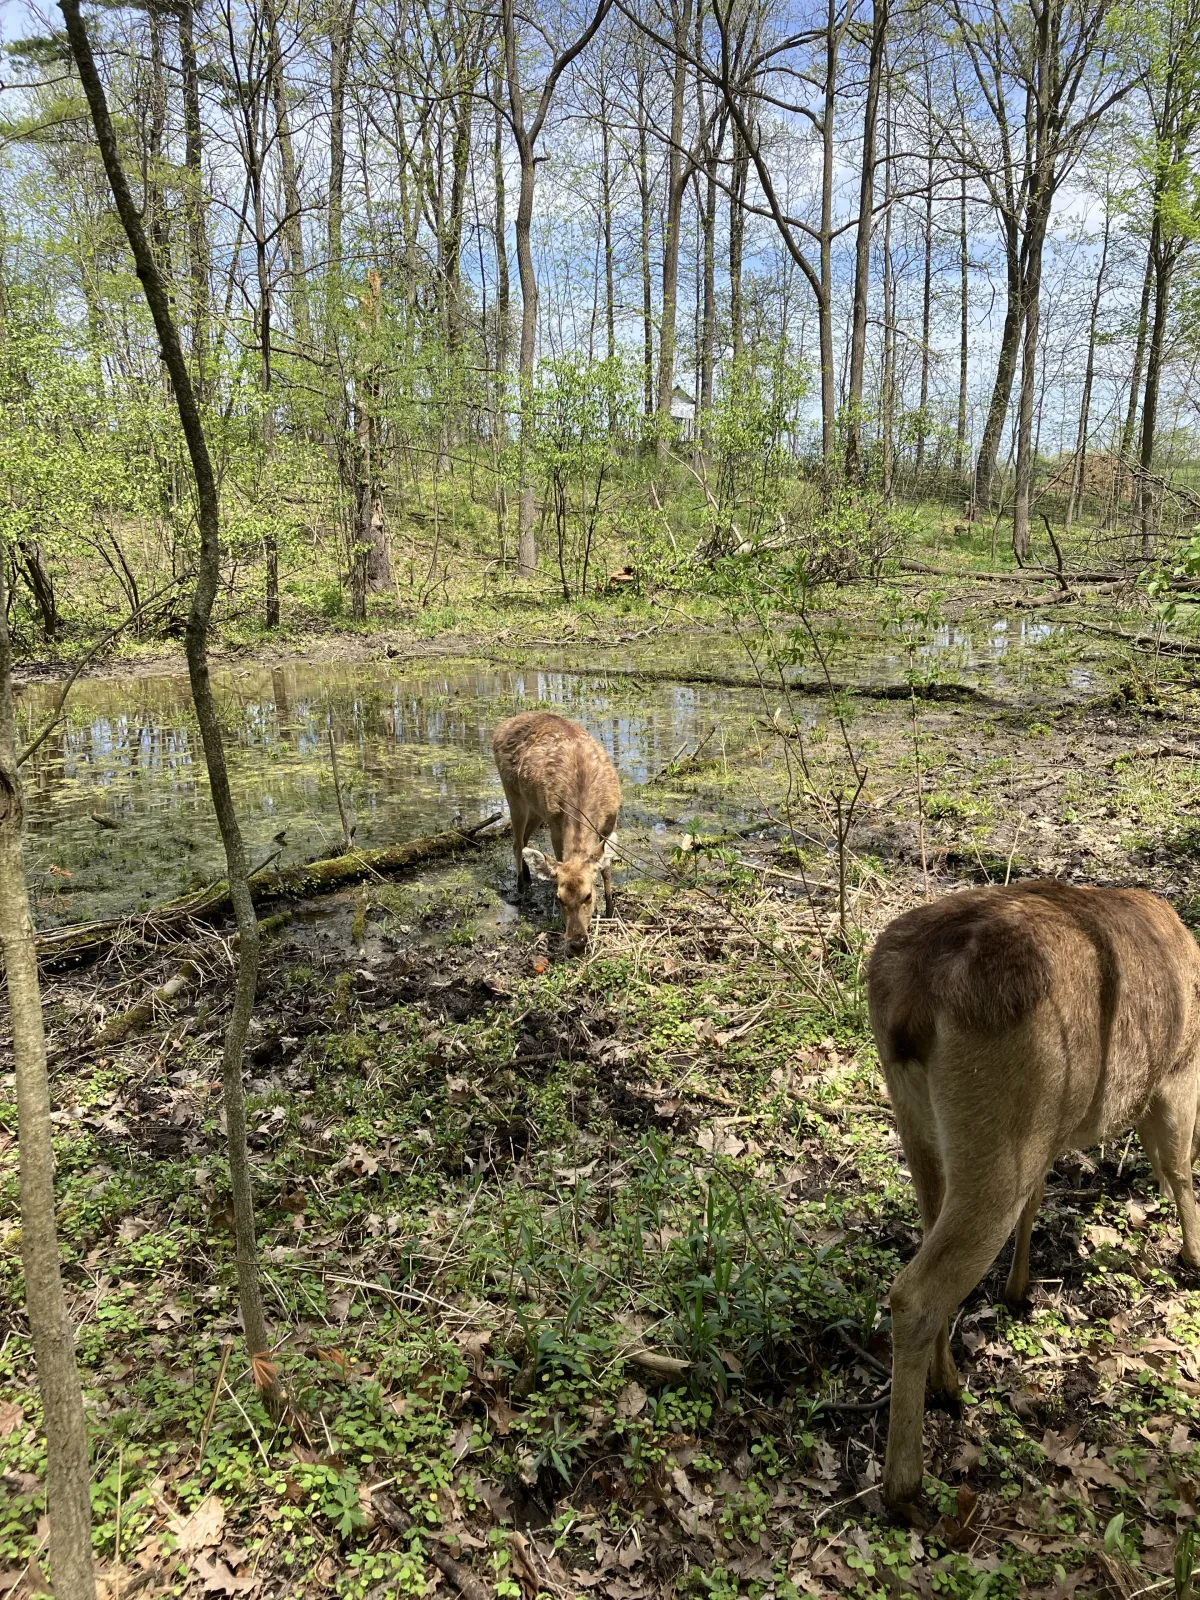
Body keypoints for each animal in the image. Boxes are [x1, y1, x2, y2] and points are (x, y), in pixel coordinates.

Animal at [492, 712, 620, 954]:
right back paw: (522, 888)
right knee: (517, 842)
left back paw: (528, 877)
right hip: (513, 793)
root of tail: (502, 725)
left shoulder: (611, 820)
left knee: (523, 840)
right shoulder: (555, 823)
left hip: (535, 807)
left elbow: (607, 868)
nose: (577, 942)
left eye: (588, 895)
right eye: (559, 898)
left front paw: (610, 912)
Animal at [868, 880, 1200, 1513]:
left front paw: (1020, 1290)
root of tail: (908, 1002)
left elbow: (1039, 1199)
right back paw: (905, 1486)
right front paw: (1193, 1261)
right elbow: (1180, 1171)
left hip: (925, 1126)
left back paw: (948, 1383)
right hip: (1002, 1136)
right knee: (913, 1291)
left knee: (931, 1236)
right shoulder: (1175, 1077)